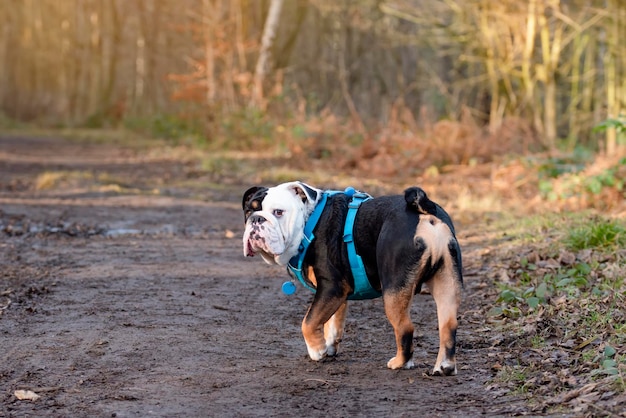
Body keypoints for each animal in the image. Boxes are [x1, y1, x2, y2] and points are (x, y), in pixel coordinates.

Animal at [241, 181, 460, 378]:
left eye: (279, 212)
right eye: (248, 211)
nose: (257, 219)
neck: (307, 222)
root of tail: (425, 214)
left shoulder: (332, 287)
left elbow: (308, 321)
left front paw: (317, 350)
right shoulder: (337, 294)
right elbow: (331, 322)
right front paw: (328, 346)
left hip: (394, 290)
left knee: (405, 327)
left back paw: (400, 362)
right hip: (447, 283)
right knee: (448, 325)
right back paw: (445, 367)